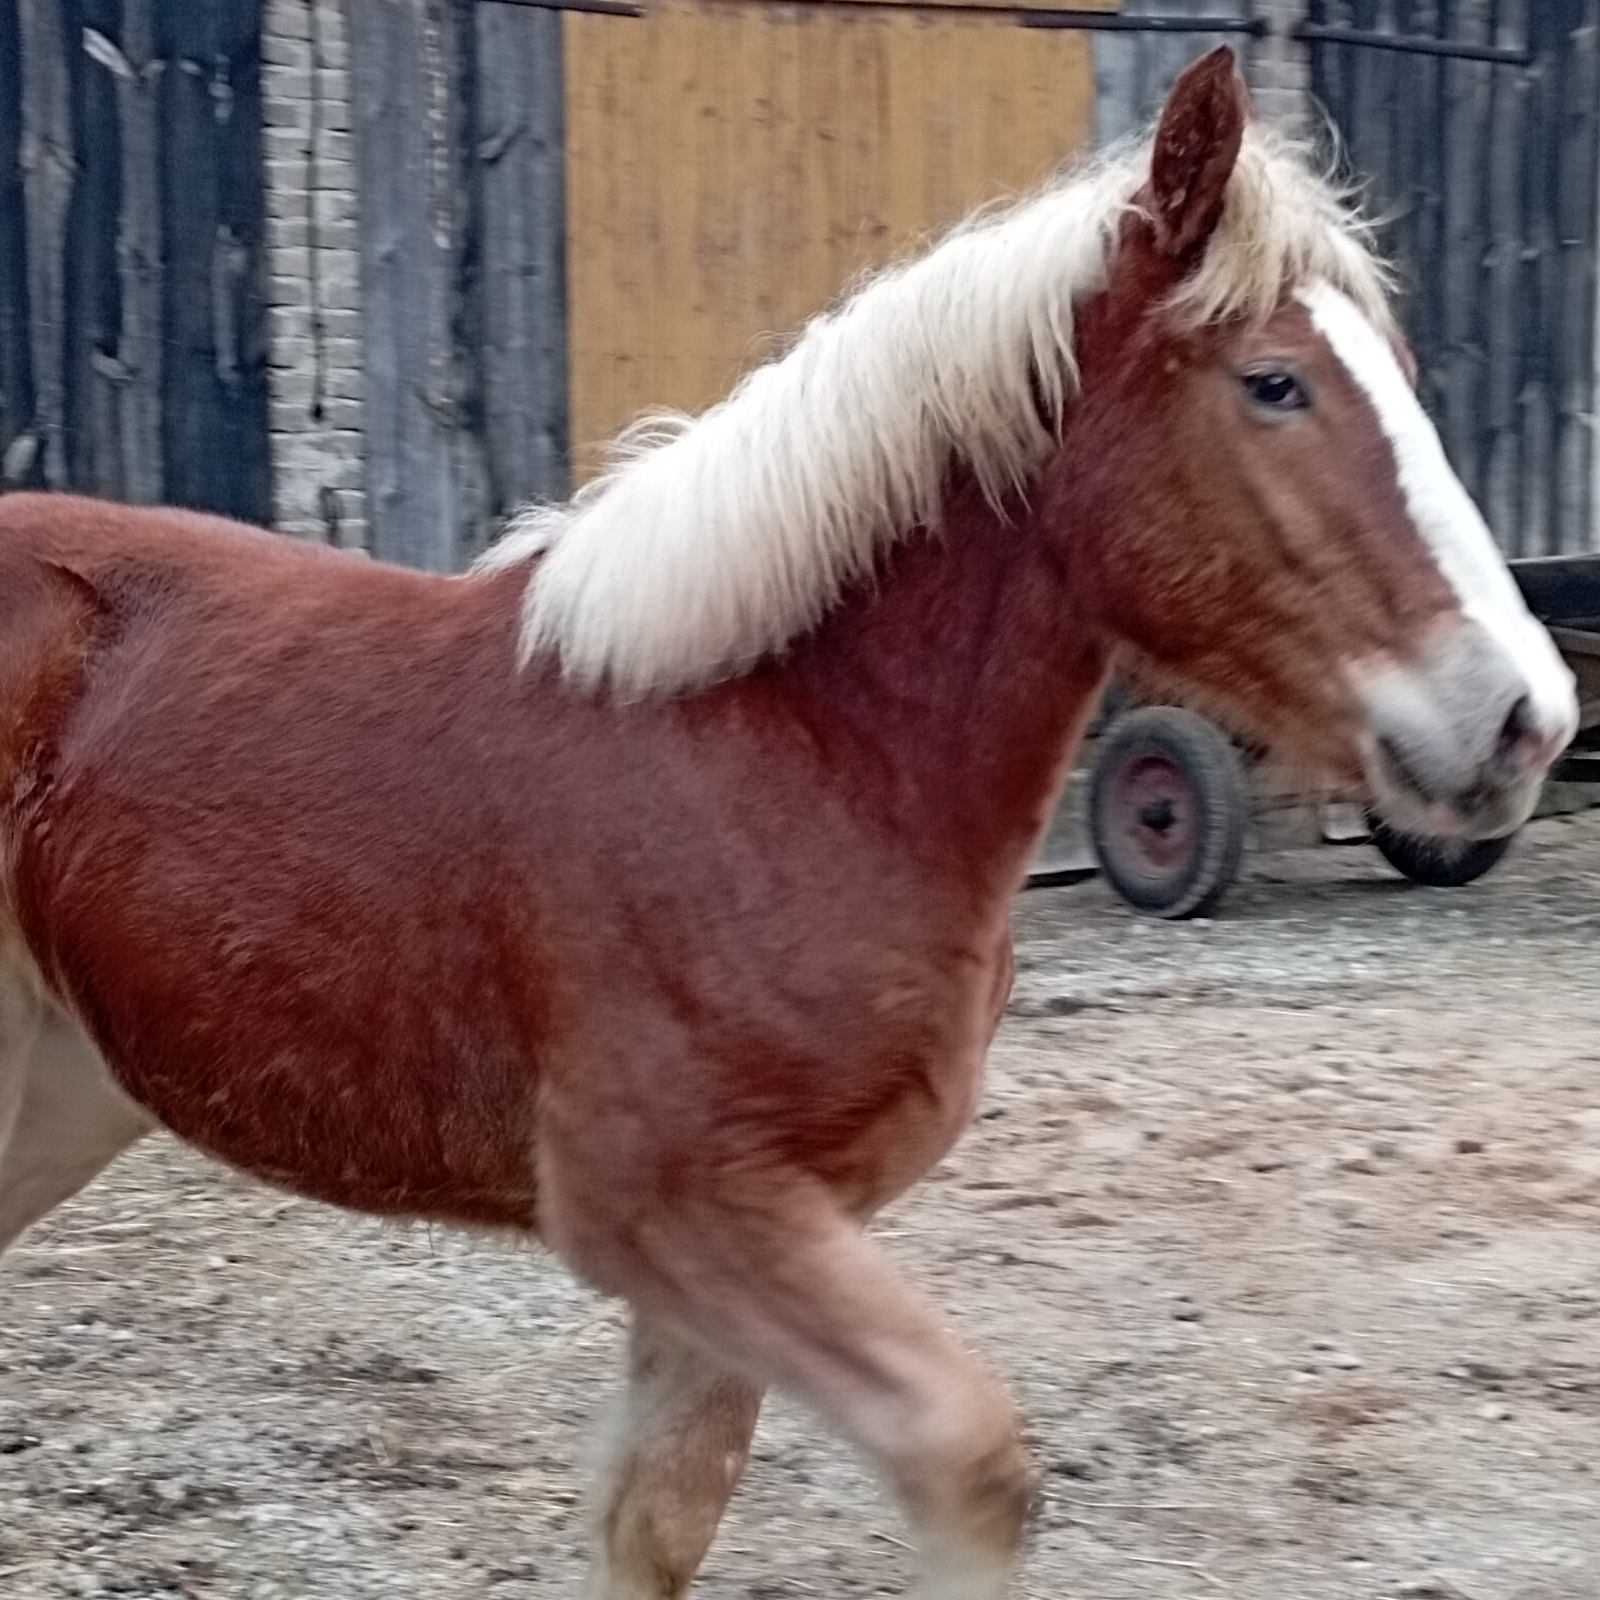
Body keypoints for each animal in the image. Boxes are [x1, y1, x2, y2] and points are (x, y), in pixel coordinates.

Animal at [0, 50, 1574, 1600]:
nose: (1524, 716)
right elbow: (968, 1463)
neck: (790, 759)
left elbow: (656, 1522)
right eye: (1272, 383)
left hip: (66, 1087)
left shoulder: (745, 1245)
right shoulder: (675, 1209)